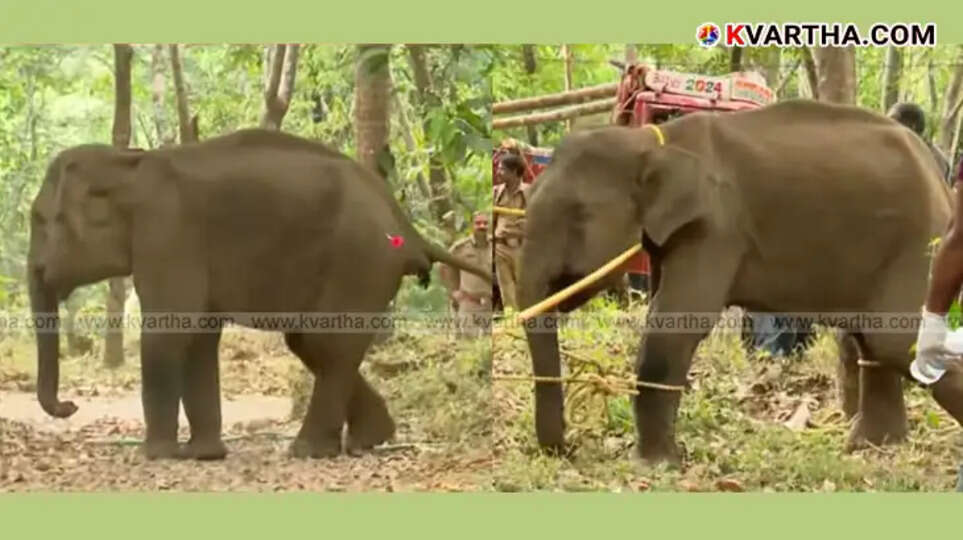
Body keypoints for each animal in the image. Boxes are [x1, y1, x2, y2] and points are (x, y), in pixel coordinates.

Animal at [28, 128, 491, 460]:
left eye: (40, 220)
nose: (70, 406)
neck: (131, 161)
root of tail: (406, 227)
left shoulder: (167, 233)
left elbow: (168, 332)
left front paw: (153, 456)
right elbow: (200, 337)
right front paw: (203, 456)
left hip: (359, 260)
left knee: (325, 343)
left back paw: (308, 451)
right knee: (313, 344)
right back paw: (370, 440)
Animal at [516, 99, 963, 465]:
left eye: (578, 214)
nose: (568, 448)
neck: (653, 142)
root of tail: (938, 178)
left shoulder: (715, 227)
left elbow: (676, 323)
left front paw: (654, 466)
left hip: (922, 244)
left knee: (894, 339)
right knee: (874, 342)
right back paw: (869, 448)